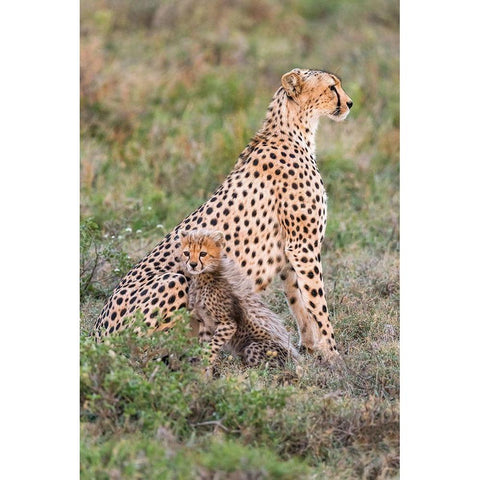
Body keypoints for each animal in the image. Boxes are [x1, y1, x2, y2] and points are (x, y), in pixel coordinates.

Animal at [95, 66, 354, 360]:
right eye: (332, 87)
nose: (350, 103)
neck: (293, 130)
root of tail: (96, 334)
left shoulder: (291, 251)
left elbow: (299, 301)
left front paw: (309, 349)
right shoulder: (303, 246)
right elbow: (318, 304)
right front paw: (333, 356)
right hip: (175, 280)